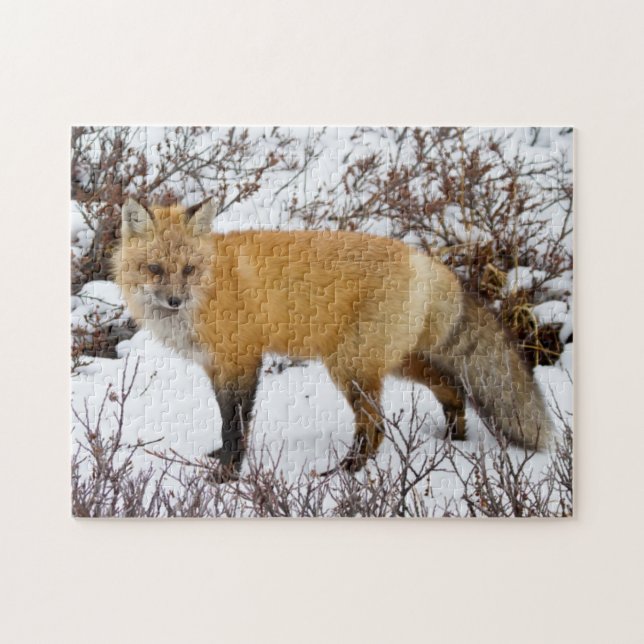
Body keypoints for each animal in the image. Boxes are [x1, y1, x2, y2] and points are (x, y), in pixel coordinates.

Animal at [113, 197, 552, 481]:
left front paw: (227, 476)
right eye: (154, 269)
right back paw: (453, 440)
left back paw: (346, 473)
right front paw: (221, 461)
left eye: (188, 269)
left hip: (350, 367)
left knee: (376, 427)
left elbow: (234, 425)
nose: (174, 300)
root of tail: (427, 261)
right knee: (451, 387)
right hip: (393, 362)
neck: (210, 289)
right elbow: (226, 422)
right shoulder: (216, 367)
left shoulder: (241, 360)